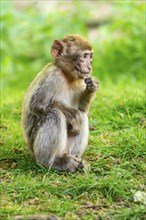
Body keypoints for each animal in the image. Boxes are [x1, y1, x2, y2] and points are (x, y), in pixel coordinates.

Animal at [21, 34, 99, 173]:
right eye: (84, 56)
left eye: (90, 57)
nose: (89, 67)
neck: (67, 76)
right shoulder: (53, 76)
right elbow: (36, 105)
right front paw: (74, 116)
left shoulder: (81, 81)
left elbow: (82, 108)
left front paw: (92, 87)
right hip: (35, 150)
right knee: (55, 113)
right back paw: (52, 162)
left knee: (82, 115)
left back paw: (77, 161)